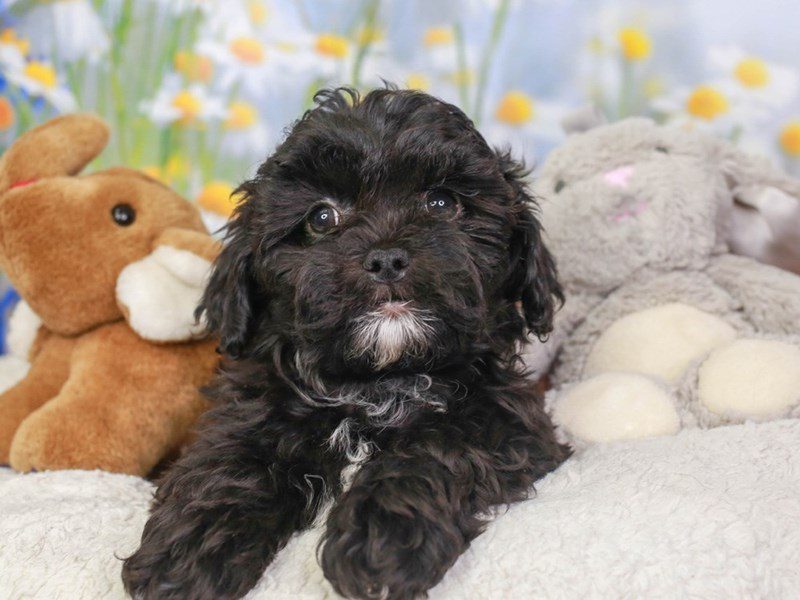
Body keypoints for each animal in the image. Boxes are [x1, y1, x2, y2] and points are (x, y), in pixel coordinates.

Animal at [120, 88, 568, 600]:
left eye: (441, 203)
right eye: (322, 217)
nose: (387, 258)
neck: (376, 383)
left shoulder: (507, 419)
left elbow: (436, 448)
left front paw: (381, 539)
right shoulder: (255, 406)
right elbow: (233, 463)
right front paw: (186, 551)